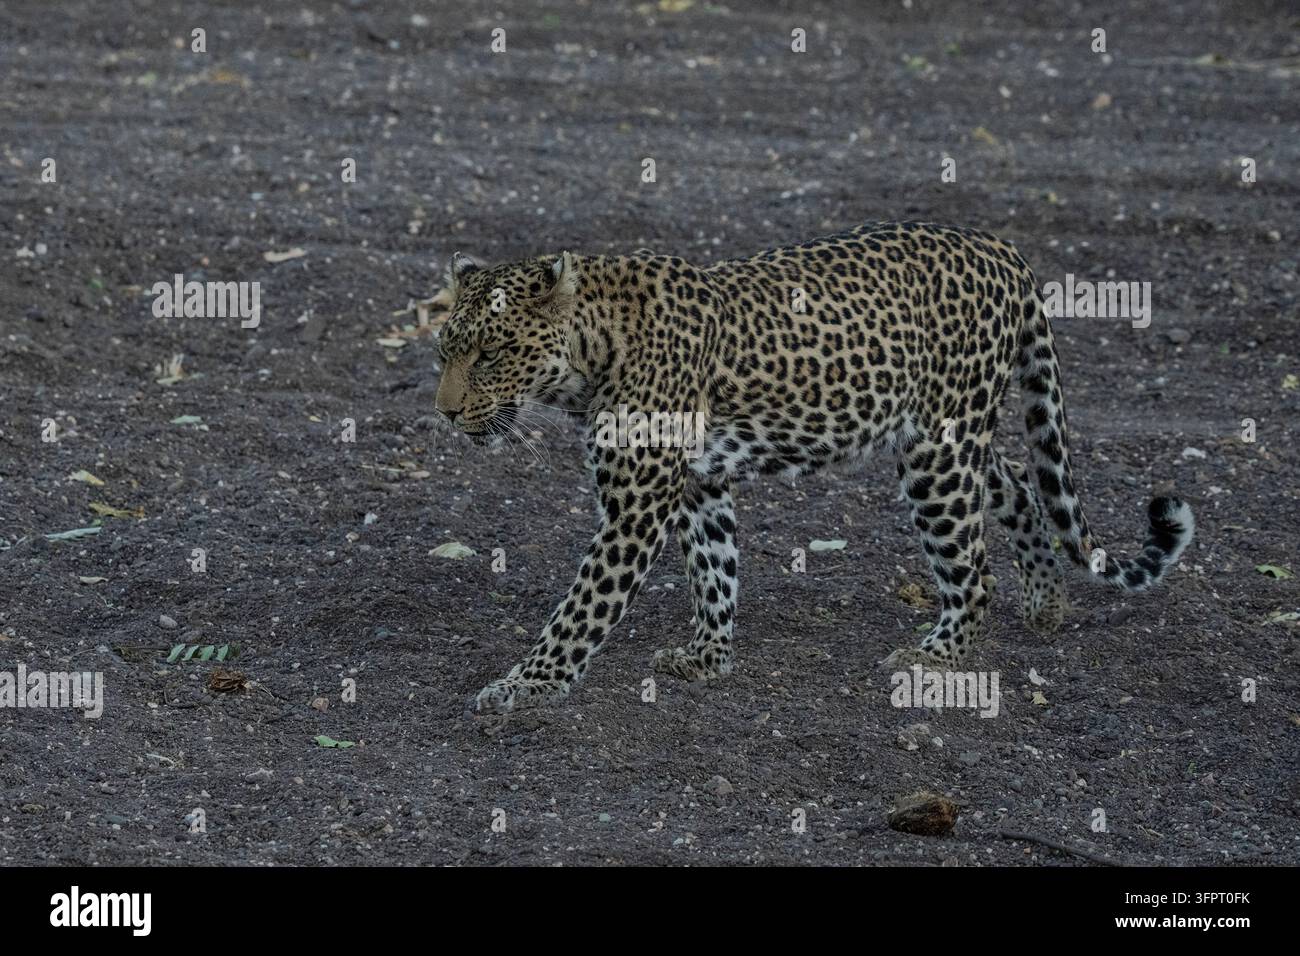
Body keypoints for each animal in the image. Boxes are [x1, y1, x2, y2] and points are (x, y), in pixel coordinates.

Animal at [431, 221, 1195, 715]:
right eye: (444, 350)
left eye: (492, 354)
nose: (444, 412)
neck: (590, 356)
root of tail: (1003, 249)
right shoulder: (700, 481)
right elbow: (715, 567)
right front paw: (709, 658)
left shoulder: (637, 504)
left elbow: (583, 606)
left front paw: (525, 686)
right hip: (949, 434)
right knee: (1020, 491)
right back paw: (1044, 603)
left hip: (936, 450)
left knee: (973, 570)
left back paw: (937, 657)